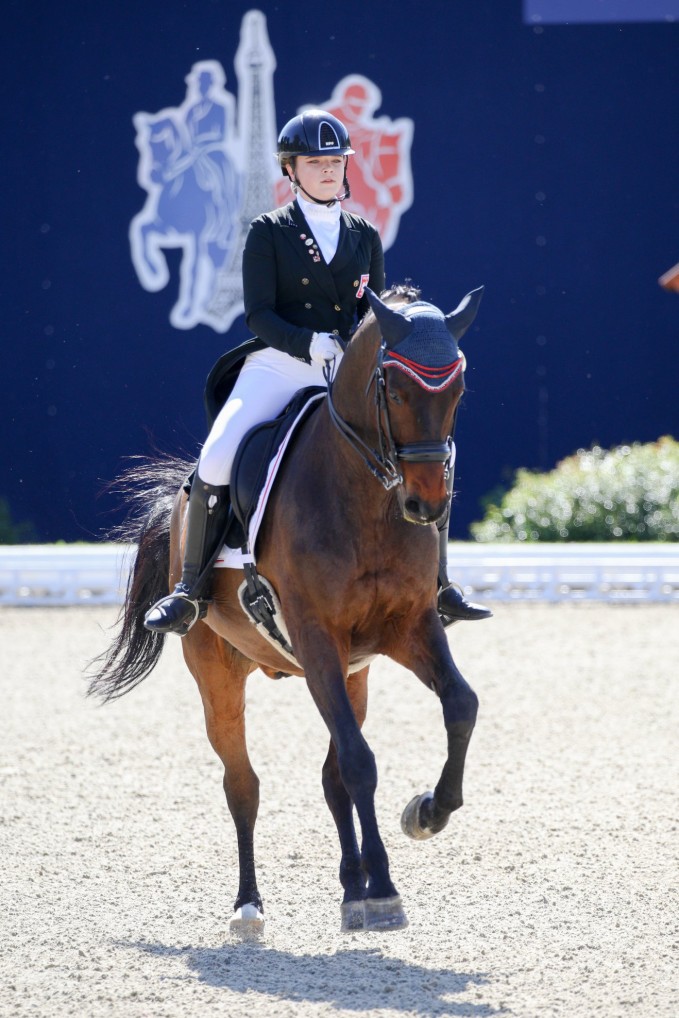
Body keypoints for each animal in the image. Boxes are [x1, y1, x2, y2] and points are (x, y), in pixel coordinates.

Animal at [89, 284, 483, 934]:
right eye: (396, 390)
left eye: (457, 393)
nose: (427, 506)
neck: (365, 498)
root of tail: (178, 502)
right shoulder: (315, 635)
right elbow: (359, 762)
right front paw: (385, 888)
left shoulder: (408, 628)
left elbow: (460, 706)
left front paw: (426, 813)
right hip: (218, 669)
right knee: (242, 784)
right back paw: (250, 904)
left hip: (354, 672)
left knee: (329, 776)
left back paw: (351, 888)